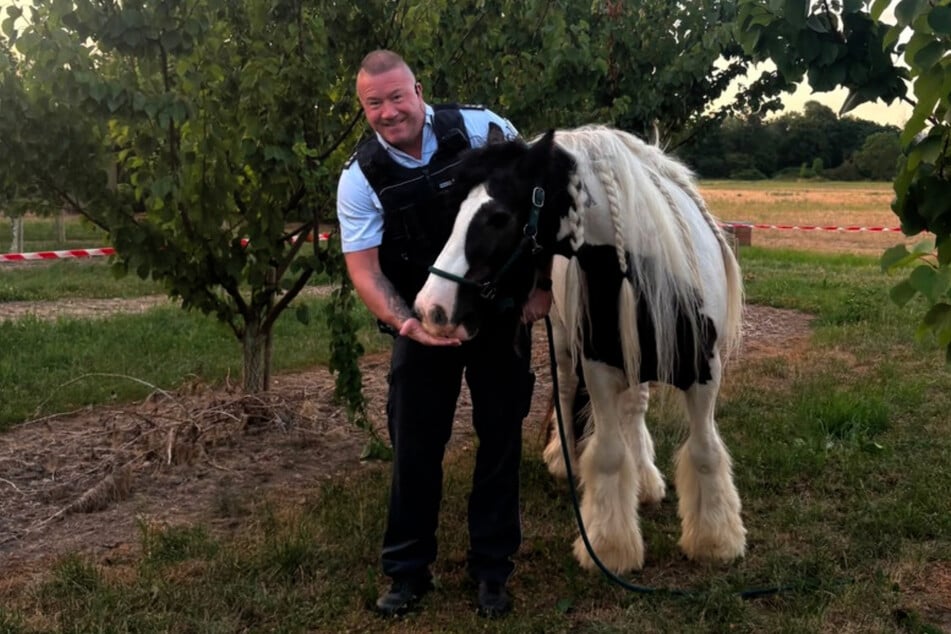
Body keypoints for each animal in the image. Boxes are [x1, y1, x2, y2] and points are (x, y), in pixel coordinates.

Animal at [414, 125, 745, 573]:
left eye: (499, 217)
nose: (432, 308)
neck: (656, 266)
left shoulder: (704, 371)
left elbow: (706, 450)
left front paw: (715, 541)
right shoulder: (598, 369)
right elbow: (607, 453)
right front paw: (610, 547)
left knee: (634, 409)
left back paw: (645, 479)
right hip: (565, 347)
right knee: (568, 394)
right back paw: (563, 459)